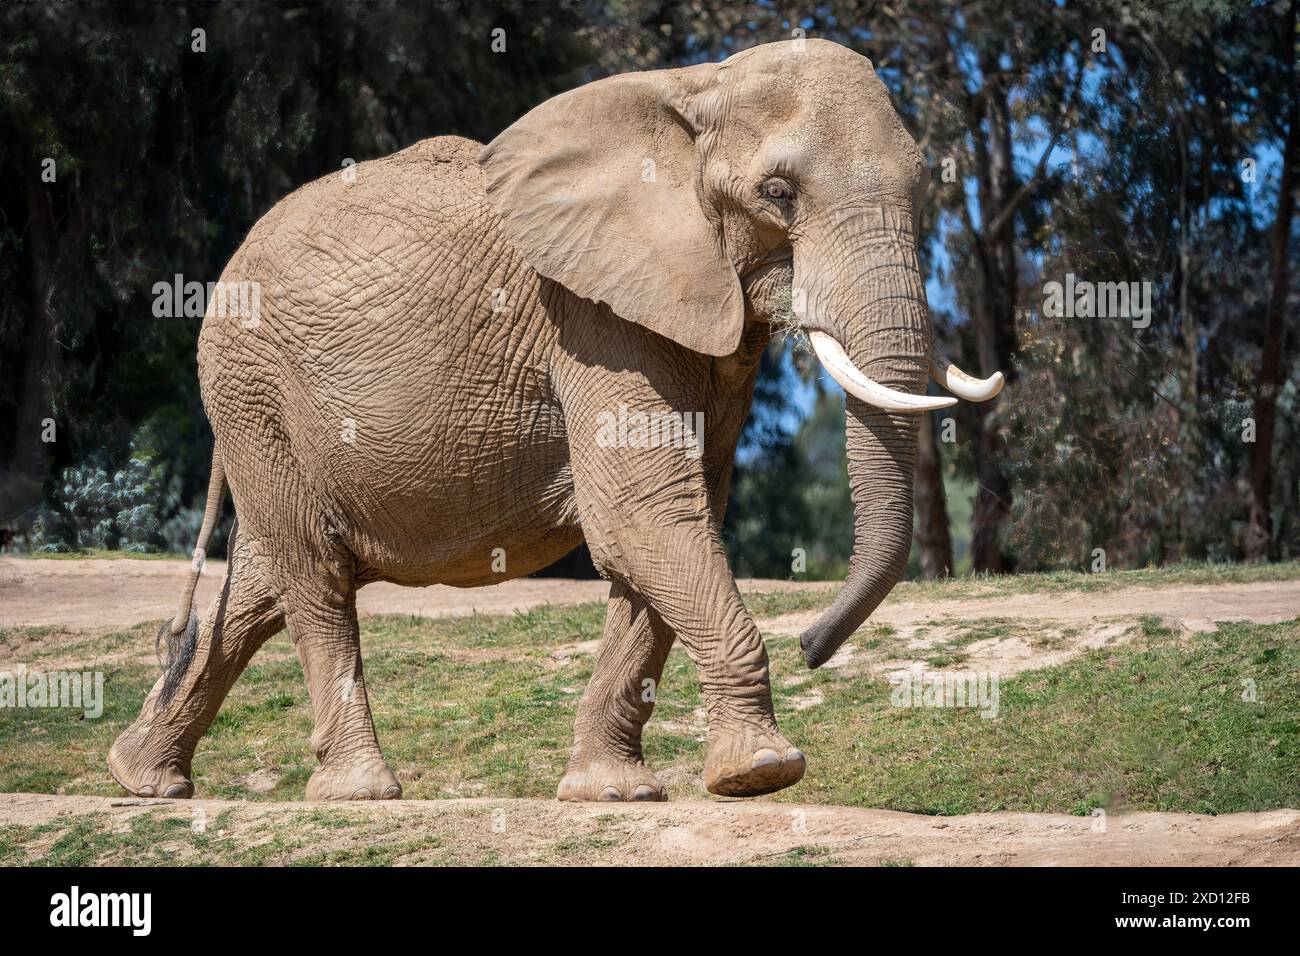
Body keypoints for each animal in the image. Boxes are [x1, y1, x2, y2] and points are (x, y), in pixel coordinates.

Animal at [107, 38, 1002, 803]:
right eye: (777, 195)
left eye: (925, 189)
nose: (811, 645)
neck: (692, 90)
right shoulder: (589, 317)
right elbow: (643, 514)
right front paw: (763, 774)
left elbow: (671, 525)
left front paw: (614, 793)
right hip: (252, 388)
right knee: (313, 573)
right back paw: (358, 792)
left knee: (265, 580)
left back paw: (143, 779)